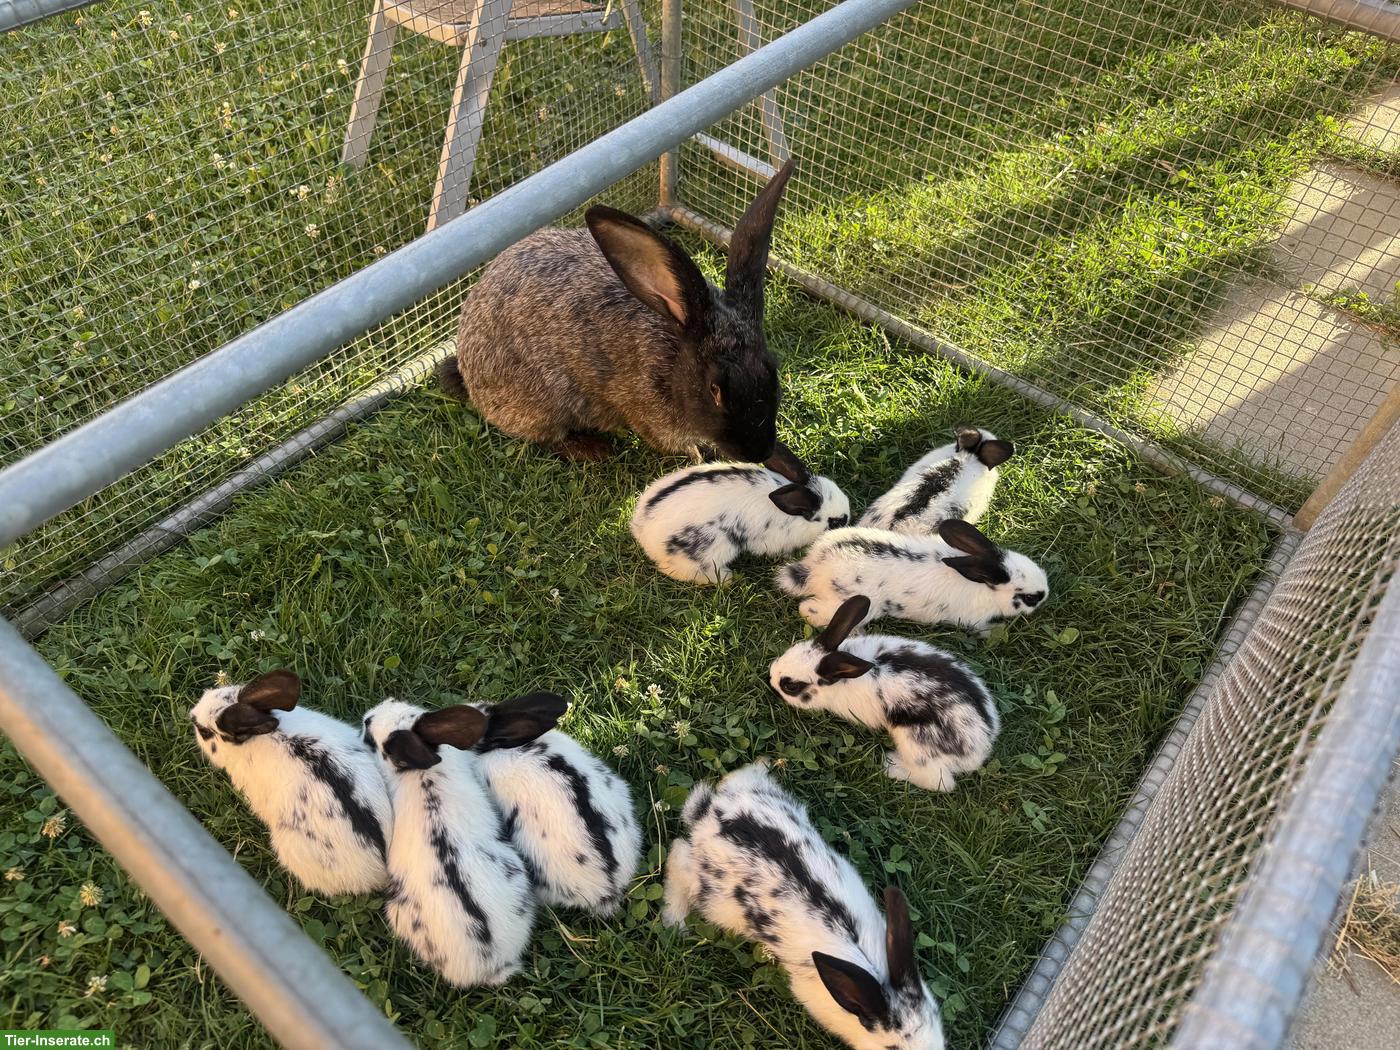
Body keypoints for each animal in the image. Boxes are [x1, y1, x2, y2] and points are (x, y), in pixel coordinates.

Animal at [441, 159, 796, 463]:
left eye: (772, 369)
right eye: (715, 389)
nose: (758, 453)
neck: (675, 344)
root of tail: (466, 368)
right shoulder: (647, 411)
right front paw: (699, 455)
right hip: (538, 404)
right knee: (545, 435)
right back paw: (591, 450)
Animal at [630, 441, 850, 584]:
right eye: (834, 521)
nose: (848, 517)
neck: (793, 515)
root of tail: (642, 532)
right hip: (709, 552)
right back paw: (728, 578)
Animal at [663, 761, 945, 1050]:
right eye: (893, 1047)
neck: (874, 971)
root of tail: (713, 814)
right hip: (712, 896)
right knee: (678, 854)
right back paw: (675, 921)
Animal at [769, 596, 999, 792]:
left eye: (790, 686)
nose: (771, 679)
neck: (839, 681)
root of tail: (981, 749)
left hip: (917, 744)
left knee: (941, 783)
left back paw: (892, 766)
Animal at [777, 518, 1048, 635]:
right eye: (1029, 598)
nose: (1045, 595)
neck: (984, 585)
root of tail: (815, 566)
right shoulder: (973, 620)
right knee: (806, 608)